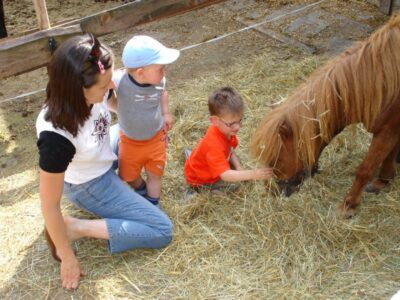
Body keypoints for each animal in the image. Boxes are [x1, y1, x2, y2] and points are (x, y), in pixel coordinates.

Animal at [250, 16, 400, 217]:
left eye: (275, 158)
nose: (273, 191)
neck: (379, 80)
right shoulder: (393, 128)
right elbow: (389, 155)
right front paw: (383, 181)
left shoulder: (387, 130)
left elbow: (365, 169)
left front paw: (348, 205)